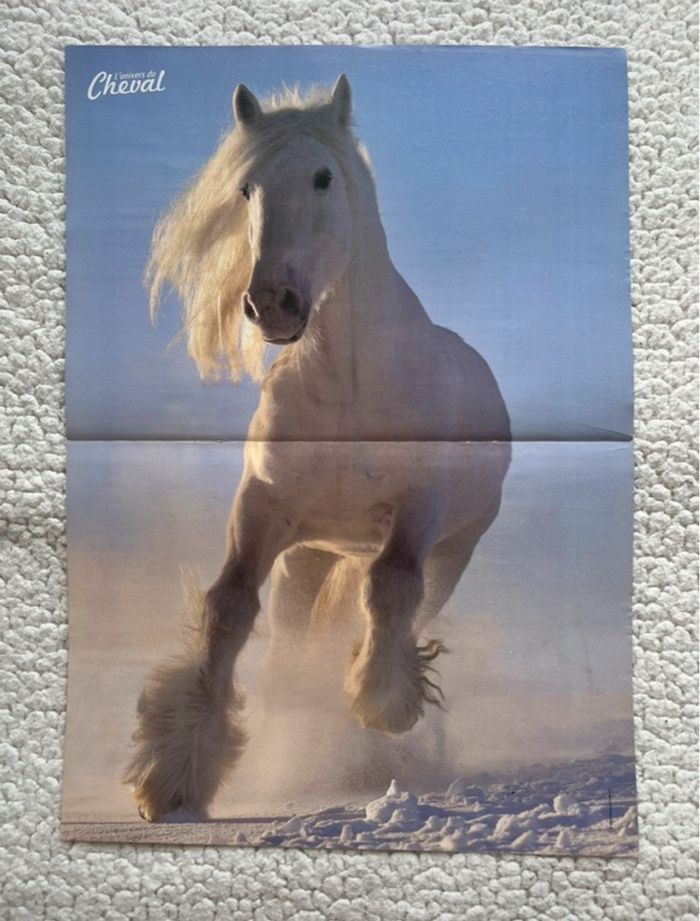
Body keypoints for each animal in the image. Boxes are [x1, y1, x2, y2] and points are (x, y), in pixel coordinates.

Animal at [124, 75, 511, 822]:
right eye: (246, 188)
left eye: (323, 177)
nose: (272, 302)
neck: (345, 387)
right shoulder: (263, 509)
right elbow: (227, 609)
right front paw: (176, 778)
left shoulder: (418, 510)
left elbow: (391, 591)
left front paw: (383, 708)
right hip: (307, 560)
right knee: (294, 643)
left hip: (452, 553)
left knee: (404, 603)